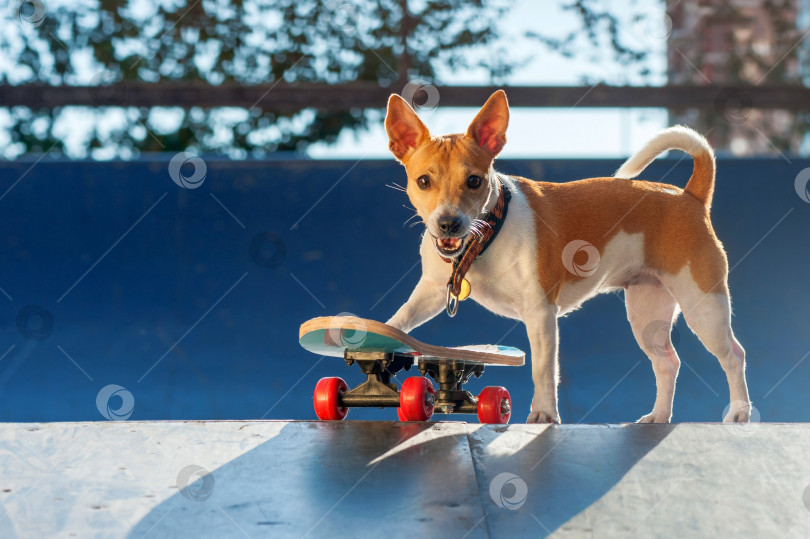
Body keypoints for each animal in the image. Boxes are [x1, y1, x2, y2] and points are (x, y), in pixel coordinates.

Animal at [382, 90, 748, 424]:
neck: (485, 234)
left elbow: (543, 370)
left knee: (733, 355)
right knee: (667, 363)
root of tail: (689, 196)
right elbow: (399, 320)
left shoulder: (541, 314)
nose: (448, 223)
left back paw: (740, 413)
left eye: (474, 181)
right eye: (423, 181)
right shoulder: (431, 293)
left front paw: (544, 414)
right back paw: (658, 416)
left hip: (704, 306)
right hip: (647, 315)